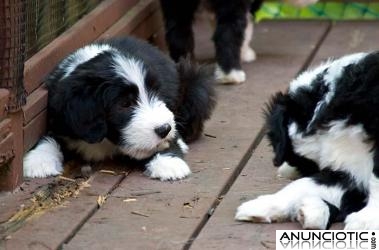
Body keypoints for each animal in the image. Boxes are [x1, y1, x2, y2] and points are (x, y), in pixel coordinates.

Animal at [23, 36, 217, 182]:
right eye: (125, 104)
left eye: (157, 93)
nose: (164, 129)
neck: (106, 141)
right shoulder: (62, 116)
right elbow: (51, 136)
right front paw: (38, 160)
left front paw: (169, 162)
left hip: (195, 85)